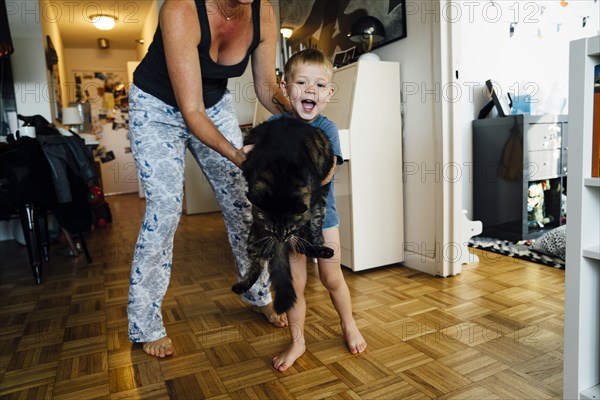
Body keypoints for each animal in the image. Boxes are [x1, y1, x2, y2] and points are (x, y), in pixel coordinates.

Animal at [232, 117, 338, 314]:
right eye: (272, 229)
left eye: (289, 230)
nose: (281, 238)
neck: (280, 176)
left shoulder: (315, 197)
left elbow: (315, 222)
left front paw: (318, 241)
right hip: (256, 233)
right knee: (259, 259)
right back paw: (241, 286)